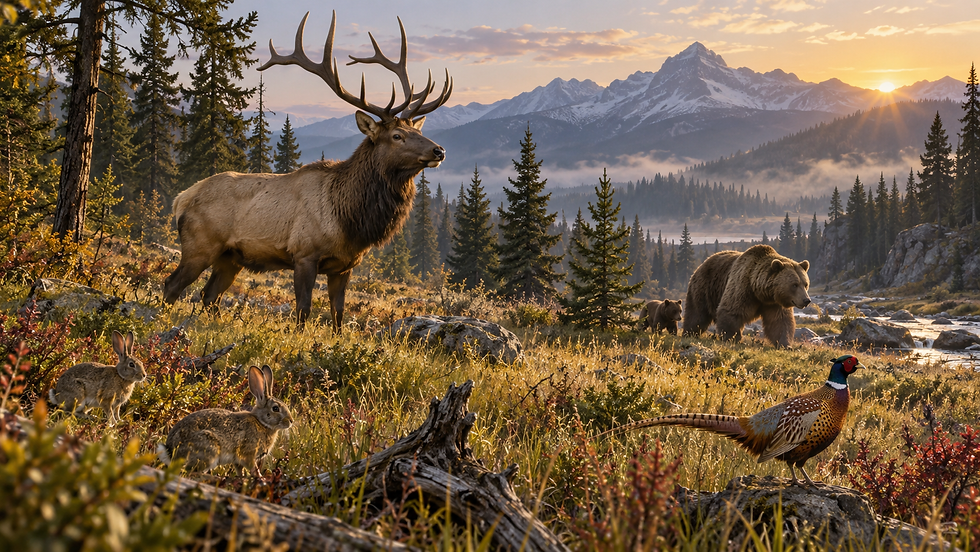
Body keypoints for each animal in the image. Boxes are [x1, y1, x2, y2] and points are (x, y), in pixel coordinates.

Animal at [158, 365, 293, 476]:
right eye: (275, 408)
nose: (291, 421)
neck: (261, 423)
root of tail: (171, 450)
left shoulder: (237, 461)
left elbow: (239, 471)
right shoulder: (248, 455)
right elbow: (253, 468)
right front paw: (260, 479)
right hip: (209, 449)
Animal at [162, 11, 452, 328]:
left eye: (416, 130)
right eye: (397, 136)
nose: (439, 150)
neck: (350, 218)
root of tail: (181, 199)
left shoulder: (344, 266)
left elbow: (338, 314)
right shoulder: (303, 254)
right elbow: (303, 310)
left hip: (230, 258)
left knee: (209, 295)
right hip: (200, 245)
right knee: (172, 285)